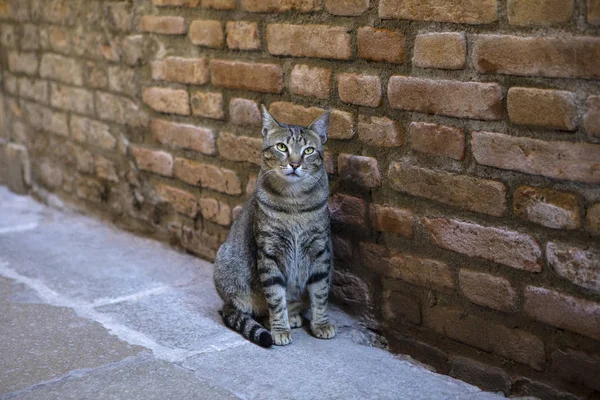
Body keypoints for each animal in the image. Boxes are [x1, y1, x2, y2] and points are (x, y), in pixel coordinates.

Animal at [214, 106, 338, 346]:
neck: (294, 202)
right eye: (282, 147)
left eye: (309, 150)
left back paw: (296, 315)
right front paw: (280, 329)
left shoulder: (320, 250)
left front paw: (321, 324)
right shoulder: (269, 252)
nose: (295, 164)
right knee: (254, 310)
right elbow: (275, 296)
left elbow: (319, 293)